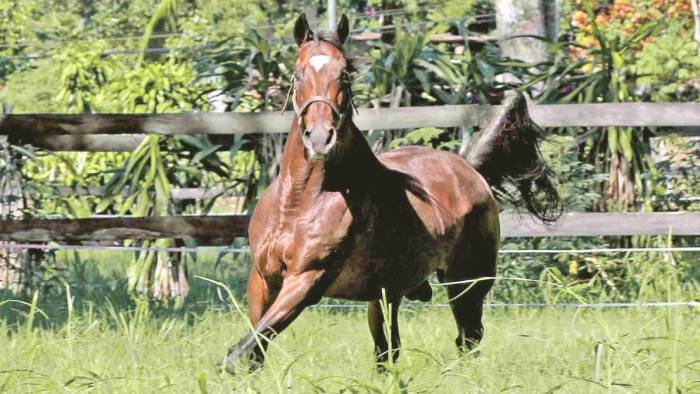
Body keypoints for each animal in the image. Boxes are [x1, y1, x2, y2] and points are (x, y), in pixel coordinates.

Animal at [227, 14, 560, 372]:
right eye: (297, 73)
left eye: (345, 75)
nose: (319, 138)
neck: (299, 203)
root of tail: (470, 170)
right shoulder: (262, 279)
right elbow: (253, 351)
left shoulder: (307, 280)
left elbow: (239, 352)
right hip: (386, 293)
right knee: (389, 350)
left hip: (466, 282)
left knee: (468, 338)